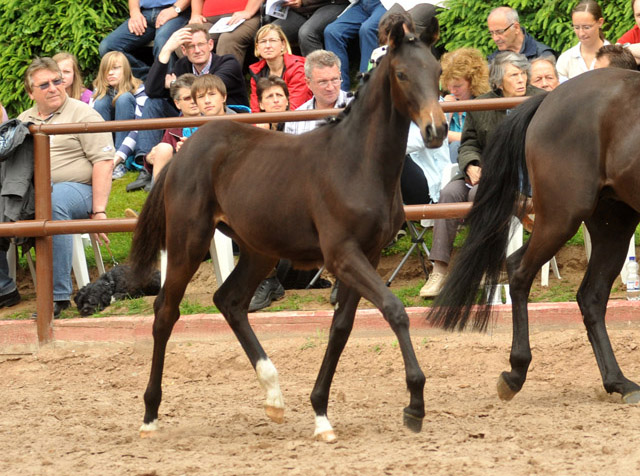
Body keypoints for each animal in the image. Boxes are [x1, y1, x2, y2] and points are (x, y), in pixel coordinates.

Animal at [130, 19, 448, 442]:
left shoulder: (367, 253)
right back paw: (150, 415)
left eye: (437, 71)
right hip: (188, 242)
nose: (436, 130)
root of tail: (183, 152)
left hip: (258, 250)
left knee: (229, 301)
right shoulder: (342, 255)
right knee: (166, 311)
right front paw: (414, 404)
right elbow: (395, 310)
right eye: (402, 74)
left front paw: (321, 414)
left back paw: (274, 397)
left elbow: (341, 328)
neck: (357, 163)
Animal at [424, 69, 640, 406]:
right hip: (562, 216)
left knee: (589, 295)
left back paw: (619, 382)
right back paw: (515, 373)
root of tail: (548, 99)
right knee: (520, 272)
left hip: (612, 222)